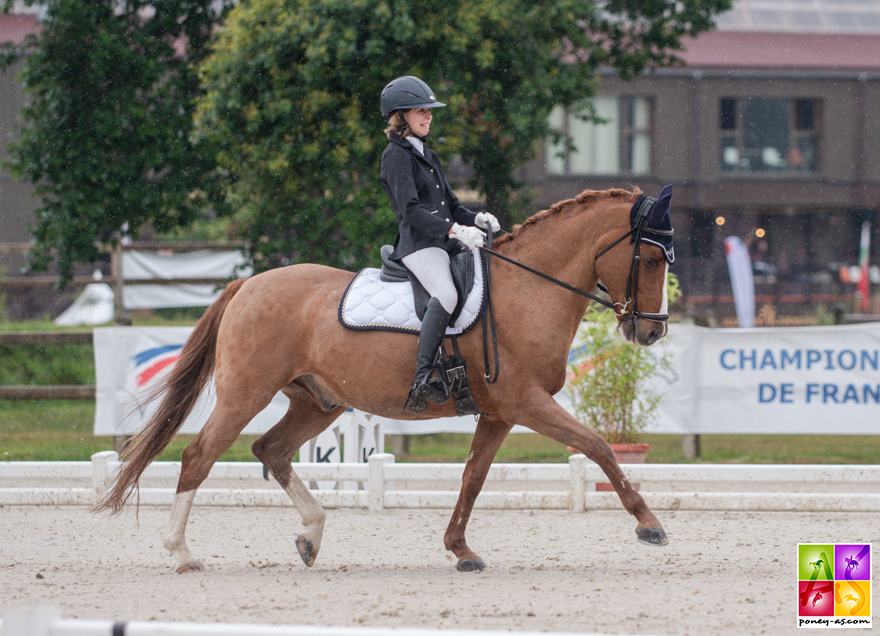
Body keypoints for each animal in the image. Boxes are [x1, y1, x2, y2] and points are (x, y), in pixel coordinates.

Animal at [96, 186, 672, 572]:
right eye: (647, 257)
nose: (650, 332)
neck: (529, 289)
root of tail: (247, 284)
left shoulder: (499, 412)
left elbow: (473, 477)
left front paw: (460, 550)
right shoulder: (525, 402)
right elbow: (597, 446)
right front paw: (649, 525)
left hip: (317, 402)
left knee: (270, 450)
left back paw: (311, 536)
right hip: (245, 393)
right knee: (200, 456)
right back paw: (182, 552)